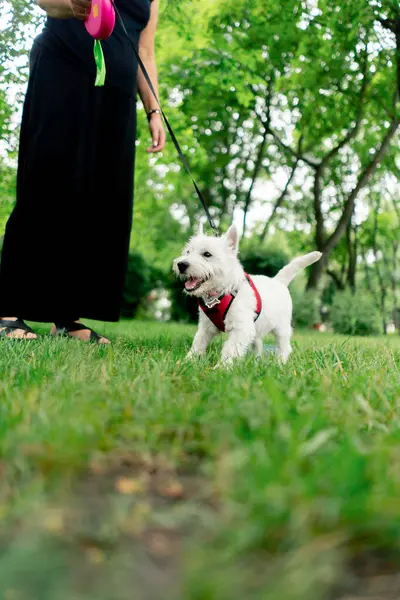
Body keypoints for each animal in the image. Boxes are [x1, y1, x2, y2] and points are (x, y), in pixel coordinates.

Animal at [173, 224, 322, 366]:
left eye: (207, 254)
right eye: (188, 251)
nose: (181, 264)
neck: (220, 294)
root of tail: (278, 281)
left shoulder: (241, 328)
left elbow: (230, 349)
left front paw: (222, 368)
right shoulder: (206, 328)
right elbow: (198, 344)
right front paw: (187, 362)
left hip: (282, 328)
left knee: (284, 347)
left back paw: (280, 364)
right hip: (256, 328)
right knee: (258, 344)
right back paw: (255, 363)